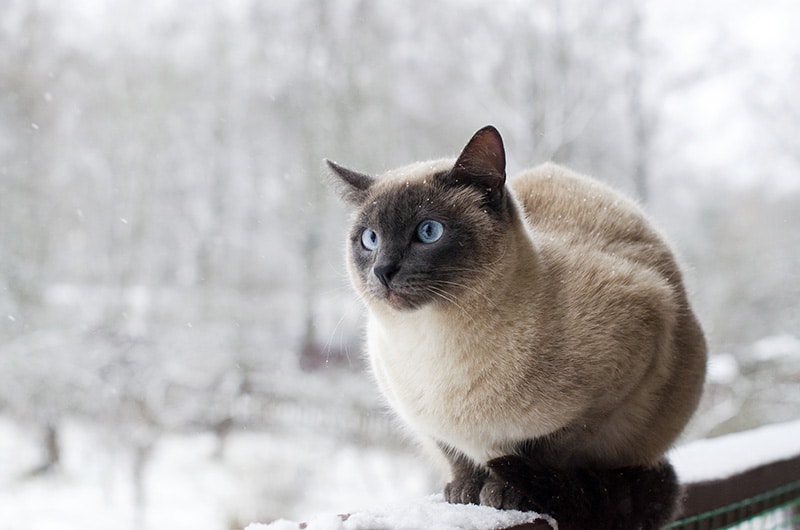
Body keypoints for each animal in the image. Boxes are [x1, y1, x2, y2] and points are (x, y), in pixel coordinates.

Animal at [324, 125, 708, 528]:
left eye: (428, 232)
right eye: (370, 239)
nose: (383, 271)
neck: (435, 344)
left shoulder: (614, 384)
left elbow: (541, 450)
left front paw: (502, 491)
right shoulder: (422, 421)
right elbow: (456, 455)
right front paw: (464, 492)